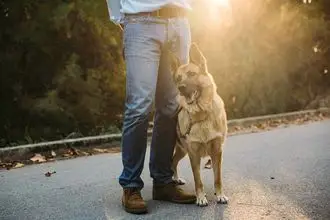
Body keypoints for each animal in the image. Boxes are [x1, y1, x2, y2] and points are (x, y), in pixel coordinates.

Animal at [170, 43, 227, 206]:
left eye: (191, 74)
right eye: (178, 78)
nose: (181, 88)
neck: (201, 114)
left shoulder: (217, 152)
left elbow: (218, 178)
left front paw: (220, 195)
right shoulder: (193, 155)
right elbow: (198, 180)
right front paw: (200, 197)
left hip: (182, 151)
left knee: (173, 162)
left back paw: (176, 179)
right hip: (182, 150)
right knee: (170, 163)